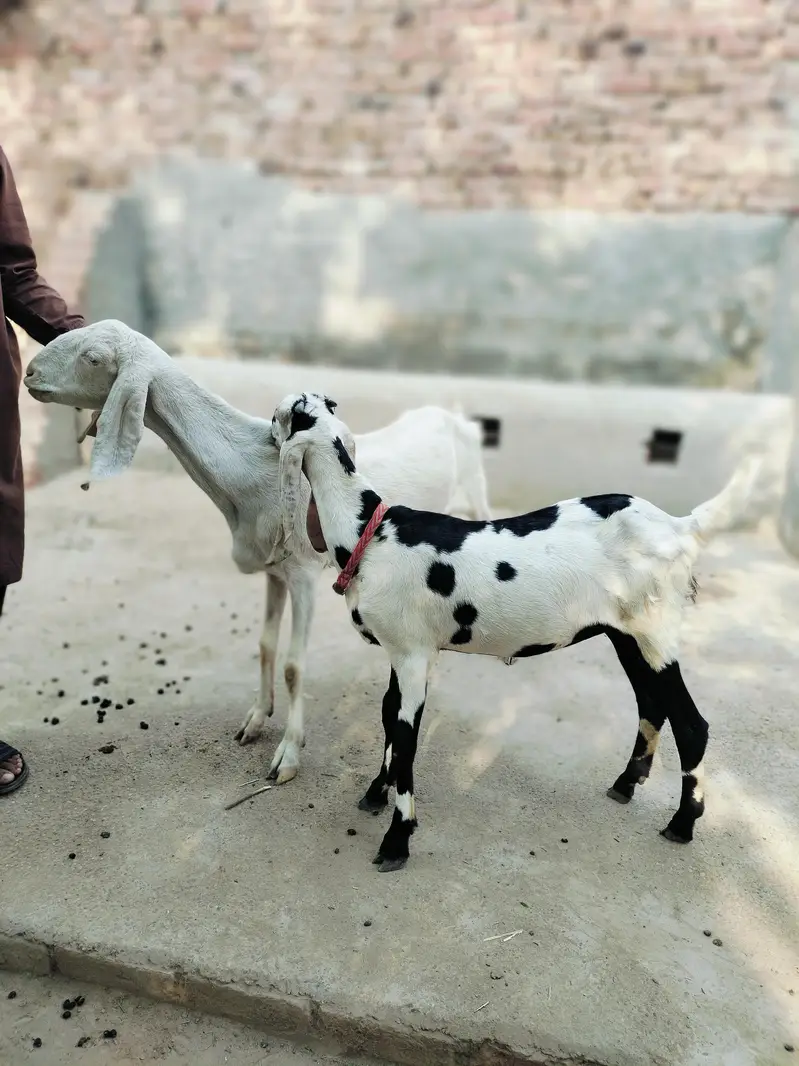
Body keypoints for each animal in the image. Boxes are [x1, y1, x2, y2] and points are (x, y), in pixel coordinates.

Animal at [24, 320, 492, 783]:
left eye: (93, 358)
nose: (29, 374)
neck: (251, 465)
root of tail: (449, 413)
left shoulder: (304, 574)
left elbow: (294, 665)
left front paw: (289, 754)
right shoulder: (274, 569)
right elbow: (266, 644)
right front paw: (256, 719)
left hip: (476, 494)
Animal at [271, 391, 758, 872]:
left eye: (280, 415)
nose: (268, 430)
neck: (369, 532)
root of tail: (679, 526)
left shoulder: (412, 653)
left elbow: (406, 736)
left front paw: (397, 839)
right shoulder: (401, 649)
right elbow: (390, 715)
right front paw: (376, 793)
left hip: (655, 631)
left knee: (692, 724)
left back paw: (682, 822)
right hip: (628, 635)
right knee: (652, 703)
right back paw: (626, 783)